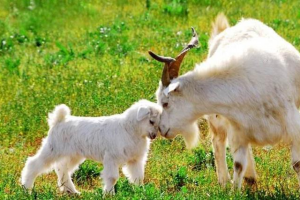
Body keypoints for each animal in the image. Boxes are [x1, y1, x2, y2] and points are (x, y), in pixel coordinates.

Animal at [149, 14, 300, 188]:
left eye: (165, 103)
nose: (161, 129)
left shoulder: (294, 128)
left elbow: (297, 164)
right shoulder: (238, 130)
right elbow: (238, 164)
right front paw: (234, 190)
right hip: (218, 121)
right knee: (218, 142)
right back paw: (226, 181)